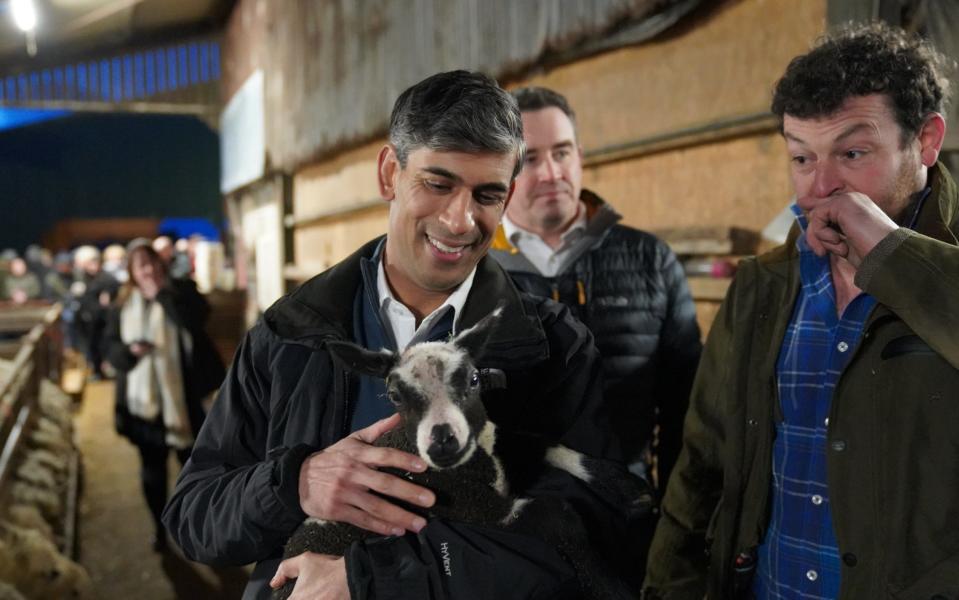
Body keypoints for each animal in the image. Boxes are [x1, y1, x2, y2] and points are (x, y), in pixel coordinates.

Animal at [278, 308, 652, 596]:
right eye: (395, 395)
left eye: (473, 380)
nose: (442, 442)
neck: (476, 465)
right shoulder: (471, 509)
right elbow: (557, 514)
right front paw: (610, 587)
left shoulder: (496, 440)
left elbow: (545, 442)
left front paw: (630, 489)